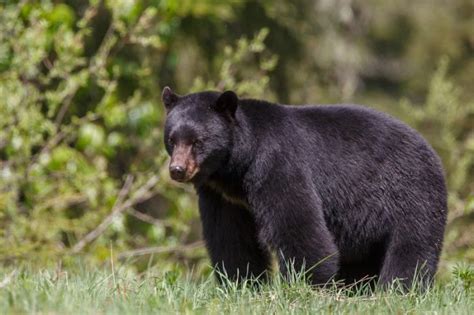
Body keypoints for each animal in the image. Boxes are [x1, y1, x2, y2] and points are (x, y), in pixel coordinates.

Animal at [161, 87, 446, 288]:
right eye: (172, 139)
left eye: (197, 141)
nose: (177, 170)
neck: (235, 169)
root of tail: (432, 152)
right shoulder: (223, 196)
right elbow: (231, 237)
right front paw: (241, 283)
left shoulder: (277, 165)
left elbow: (297, 224)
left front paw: (306, 284)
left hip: (410, 194)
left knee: (411, 247)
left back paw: (398, 288)